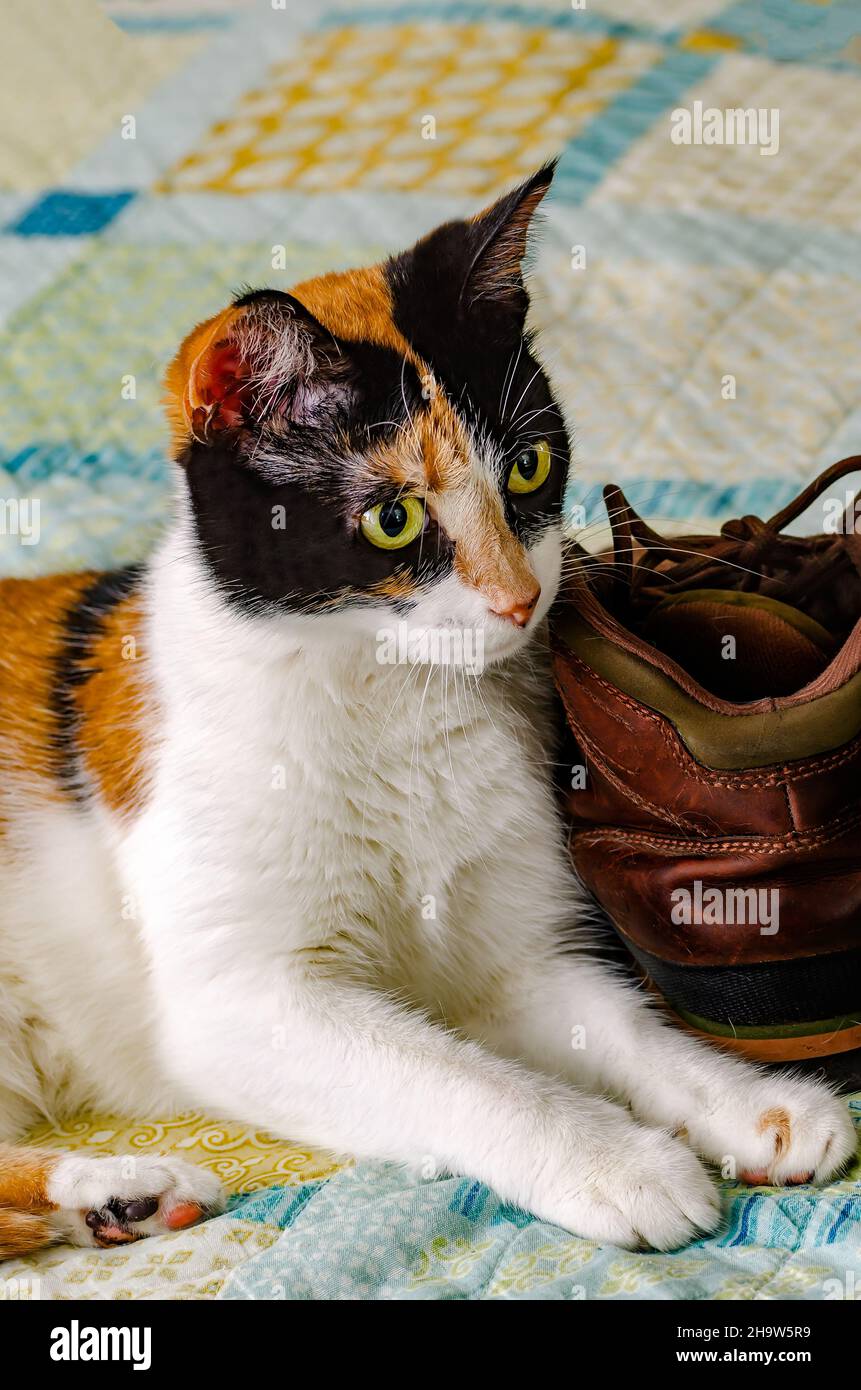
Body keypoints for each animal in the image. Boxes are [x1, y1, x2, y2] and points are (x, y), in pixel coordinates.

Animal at [0, 165, 856, 1262]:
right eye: (392, 517)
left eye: (529, 467)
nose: (519, 599)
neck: (392, 700)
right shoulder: (245, 1001)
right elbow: (457, 1072)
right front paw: (617, 1161)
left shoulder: (506, 956)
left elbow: (616, 1022)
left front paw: (748, 1099)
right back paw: (117, 1184)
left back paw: (119, 1199)